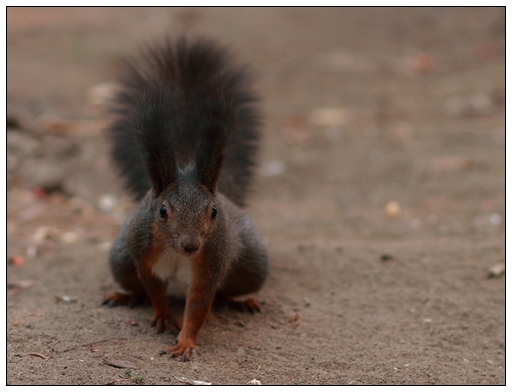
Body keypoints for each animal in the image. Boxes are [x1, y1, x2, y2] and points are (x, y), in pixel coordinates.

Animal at [101, 36, 270, 362]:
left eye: (214, 212)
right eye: (162, 211)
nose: (191, 245)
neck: (178, 253)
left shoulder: (211, 262)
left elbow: (199, 305)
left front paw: (185, 342)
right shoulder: (142, 254)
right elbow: (154, 290)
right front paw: (164, 316)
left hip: (253, 265)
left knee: (230, 290)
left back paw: (244, 300)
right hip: (120, 260)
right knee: (135, 284)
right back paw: (126, 294)